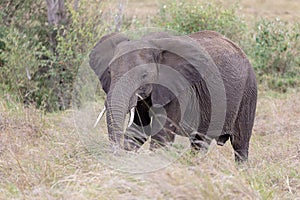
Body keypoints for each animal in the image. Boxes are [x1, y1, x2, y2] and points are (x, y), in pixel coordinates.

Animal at [89, 31, 258, 162]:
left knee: (240, 144)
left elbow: (161, 135)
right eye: (109, 72)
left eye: (144, 75)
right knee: (199, 141)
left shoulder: (179, 89)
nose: (116, 154)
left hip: (248, 90)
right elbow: (138, 131)